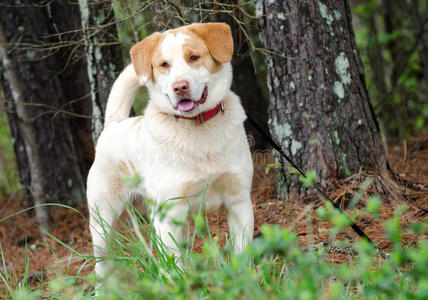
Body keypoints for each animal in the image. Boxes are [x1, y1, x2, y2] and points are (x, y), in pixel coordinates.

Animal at [87, 22, 254, 274]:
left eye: (193, 57)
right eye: (164, 65)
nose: (180, 87)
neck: (199, 129)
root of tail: (113, 125)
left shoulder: (239, 202)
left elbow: (243, 255)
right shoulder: (167, 215)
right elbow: (176, 267)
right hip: (103, 224)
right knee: (102, 265)